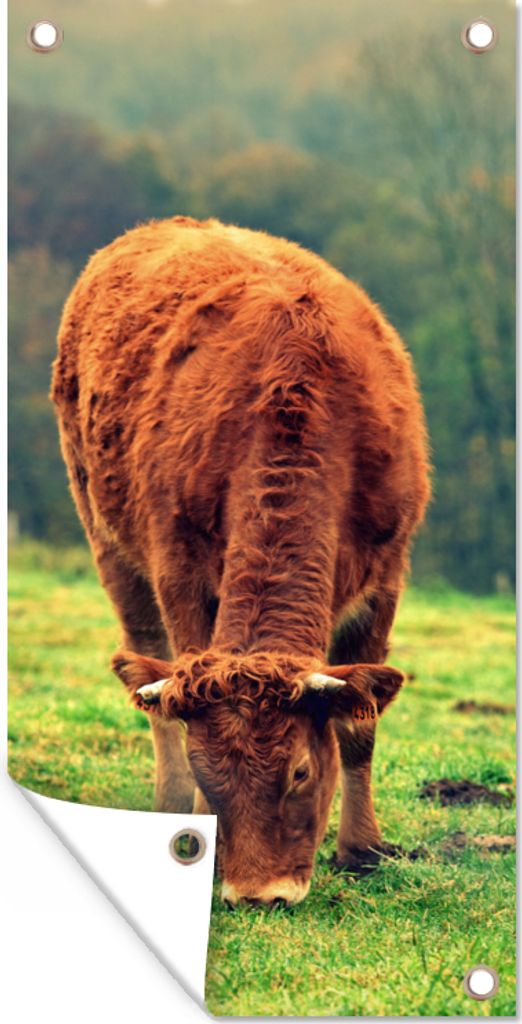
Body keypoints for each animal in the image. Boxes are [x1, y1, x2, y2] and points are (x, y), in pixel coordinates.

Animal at [51, 216, 430, 907]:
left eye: (301, 771)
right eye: (211, 773)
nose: (259, 895)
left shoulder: (386, 577)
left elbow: (359, 727)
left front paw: (362, 850)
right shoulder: (178, 569)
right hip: (106, 534)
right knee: (145, 657)